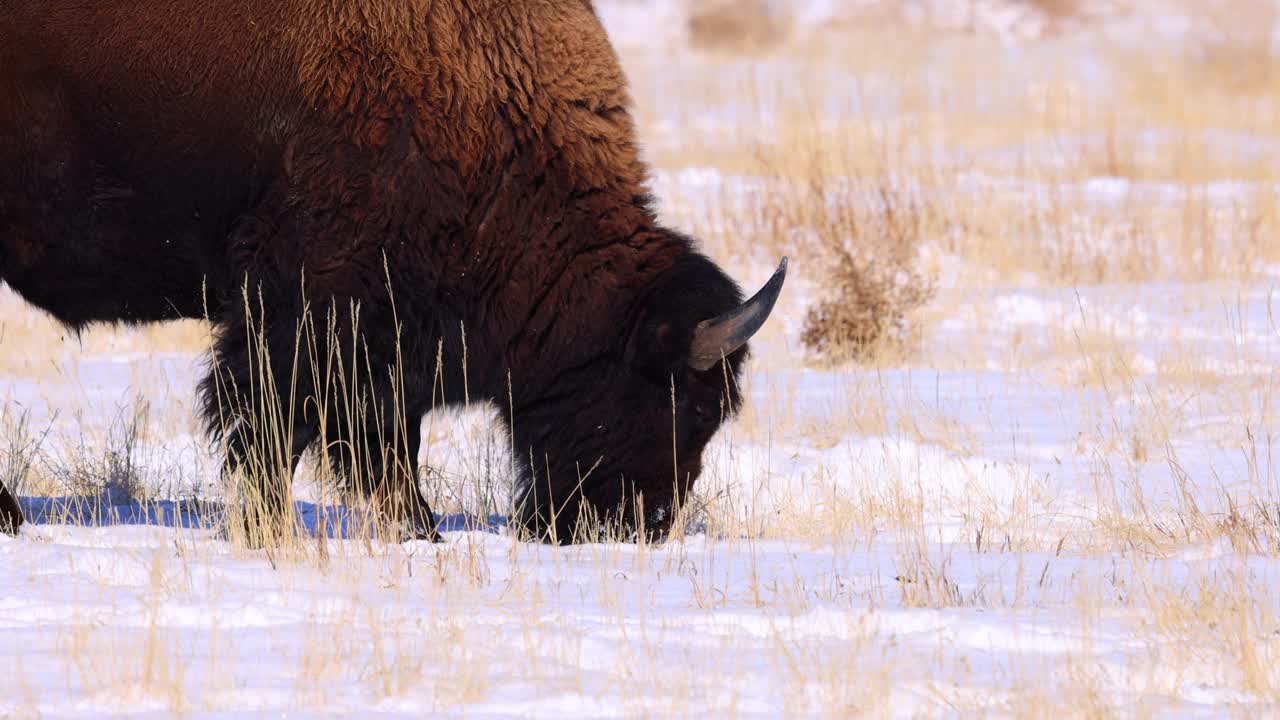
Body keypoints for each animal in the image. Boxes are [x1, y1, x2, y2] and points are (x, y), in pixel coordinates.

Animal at [0, 0, 783, 538]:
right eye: (688, 405)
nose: (644, 525)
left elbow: (376, 439)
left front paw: (417, 529)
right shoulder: (309, 316)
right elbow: (283, 431)